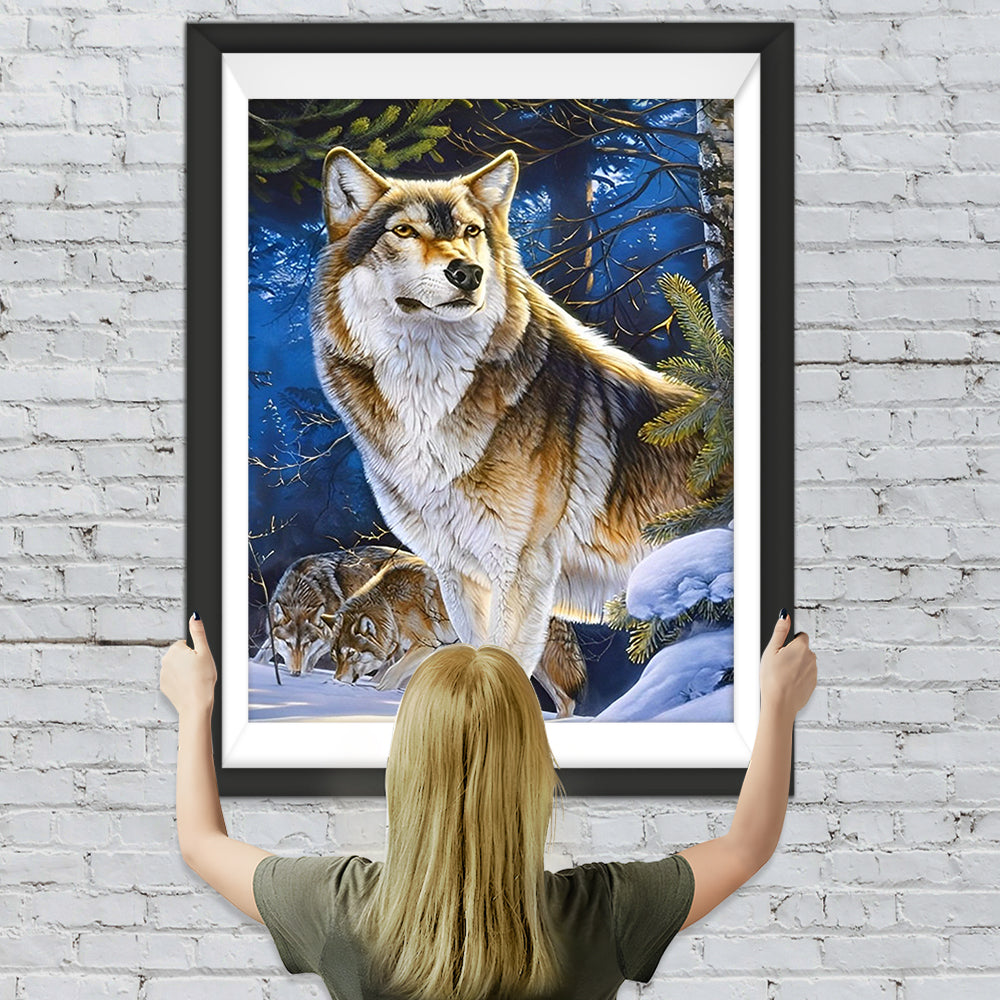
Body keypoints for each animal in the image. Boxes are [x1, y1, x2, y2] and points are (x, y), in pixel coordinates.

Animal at [309, 145, 727, 684]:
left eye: (471, 231)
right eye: (404, 231)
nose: (467, 273)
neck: (430, 400)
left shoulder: (520, 568)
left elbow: (501, 665)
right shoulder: (458, 572)